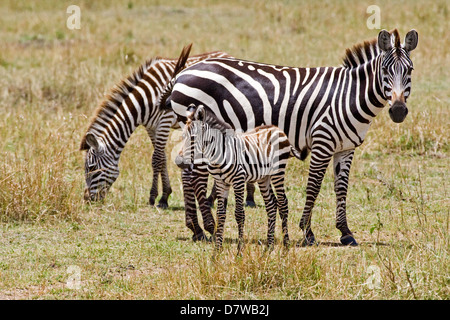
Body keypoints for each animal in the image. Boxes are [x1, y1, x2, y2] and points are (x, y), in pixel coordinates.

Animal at [79, 45, 232, 210]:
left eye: (92, 168)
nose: (87, 200)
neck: (144, 101)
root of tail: (226, 54)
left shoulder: (164, 121)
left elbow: (156, 159)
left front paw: (154, 197)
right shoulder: (151, 127)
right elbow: (162, 158)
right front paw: (165, 195)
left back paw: (214, 198)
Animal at [178, 104, 302, 251]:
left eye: (192, 137)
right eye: (183, 136)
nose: (179, 162)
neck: (219, 154)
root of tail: (277, 129)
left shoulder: (238, 180)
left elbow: (239, 214)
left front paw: (239, 249)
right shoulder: (221, 183)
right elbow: (221, 214)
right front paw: (218, 249)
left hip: (278, 171)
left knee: (283, 203)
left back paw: (286, 244)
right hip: (264, 177)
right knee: (271, 205)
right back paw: (269, 246)